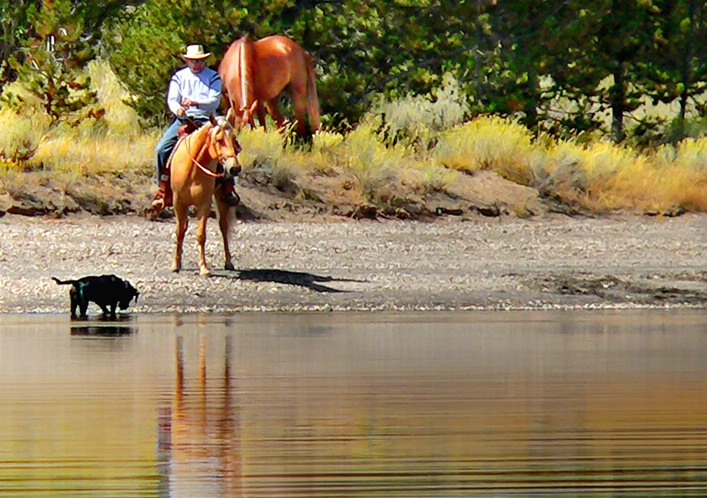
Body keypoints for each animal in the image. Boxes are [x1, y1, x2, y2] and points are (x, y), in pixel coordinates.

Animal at [170, 112, 242, 276]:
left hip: (221, 199)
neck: (192, 169)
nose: (234, 168)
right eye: (219, 139)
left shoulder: (204, 204)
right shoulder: (178, 203)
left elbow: (201, 235)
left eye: (234, 138)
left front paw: (203, 267)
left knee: (223, 227)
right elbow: (179, 232)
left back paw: (228, 262)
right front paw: (175, 264)